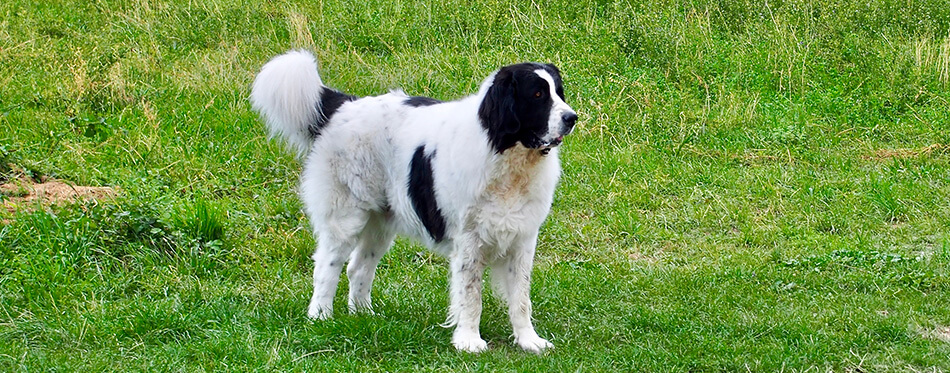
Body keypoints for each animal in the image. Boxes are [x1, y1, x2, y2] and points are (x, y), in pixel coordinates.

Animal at [249, 50, 576, 352]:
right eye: (537, 95)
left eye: (559, 93)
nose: (572, 117)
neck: (505, 155)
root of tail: (344, 105)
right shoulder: (469, 240)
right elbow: (471, 295)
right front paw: (469, 341)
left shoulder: (523, 238)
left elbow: (521, 298)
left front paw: (529, 341)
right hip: (346, 217)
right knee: (327, 266)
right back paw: (320, 317)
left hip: (380, 224)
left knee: (358, 267)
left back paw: (364, 316)